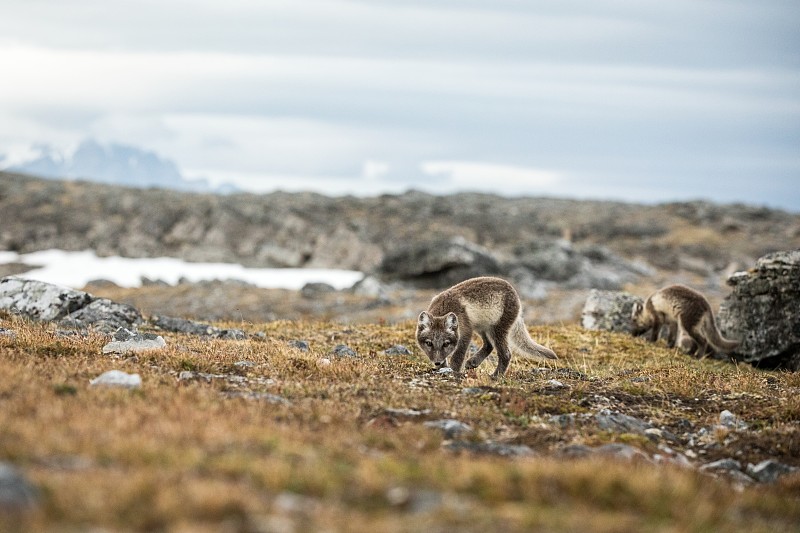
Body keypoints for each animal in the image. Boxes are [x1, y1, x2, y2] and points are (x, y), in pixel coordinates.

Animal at [418, 276, 556, 376]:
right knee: (489, 345)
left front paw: (453, 371)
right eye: (429, 343)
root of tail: (517, 296)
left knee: (506, 354)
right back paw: (473, 362)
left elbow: (457, 356)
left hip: (497, 330)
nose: (437, 362)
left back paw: (495, 376)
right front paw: (443, 368)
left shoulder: (466, 331)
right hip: (483, 328)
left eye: (446, 344)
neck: (444, 307)